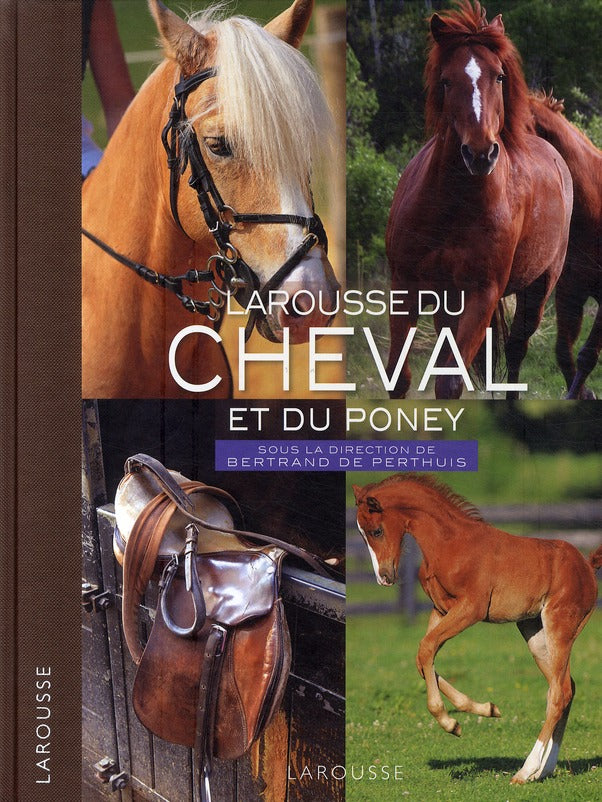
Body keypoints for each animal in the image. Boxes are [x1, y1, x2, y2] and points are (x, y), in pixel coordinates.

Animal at [353, 474, 601, 784]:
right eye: (362, 534)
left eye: (376, 531)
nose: (384, 577)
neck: (450, 543)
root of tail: (588, 566)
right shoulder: (440, 610)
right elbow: (423, 658)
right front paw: (484, 709)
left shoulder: (472, 609)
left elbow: (426, 649)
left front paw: (449, 721)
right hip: (534, 632)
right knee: (565, 687)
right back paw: (544, 770)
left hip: (560, 626)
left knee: (560, 693)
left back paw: (525, 771)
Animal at [385, 1, 573, 399]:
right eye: (446, 80)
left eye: (499, 77)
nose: (481, 153)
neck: (451, 206)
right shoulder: (405, 286)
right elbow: (398, 376)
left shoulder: (481, 295)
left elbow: (450, 382)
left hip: (538, 289)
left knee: (517, 350)